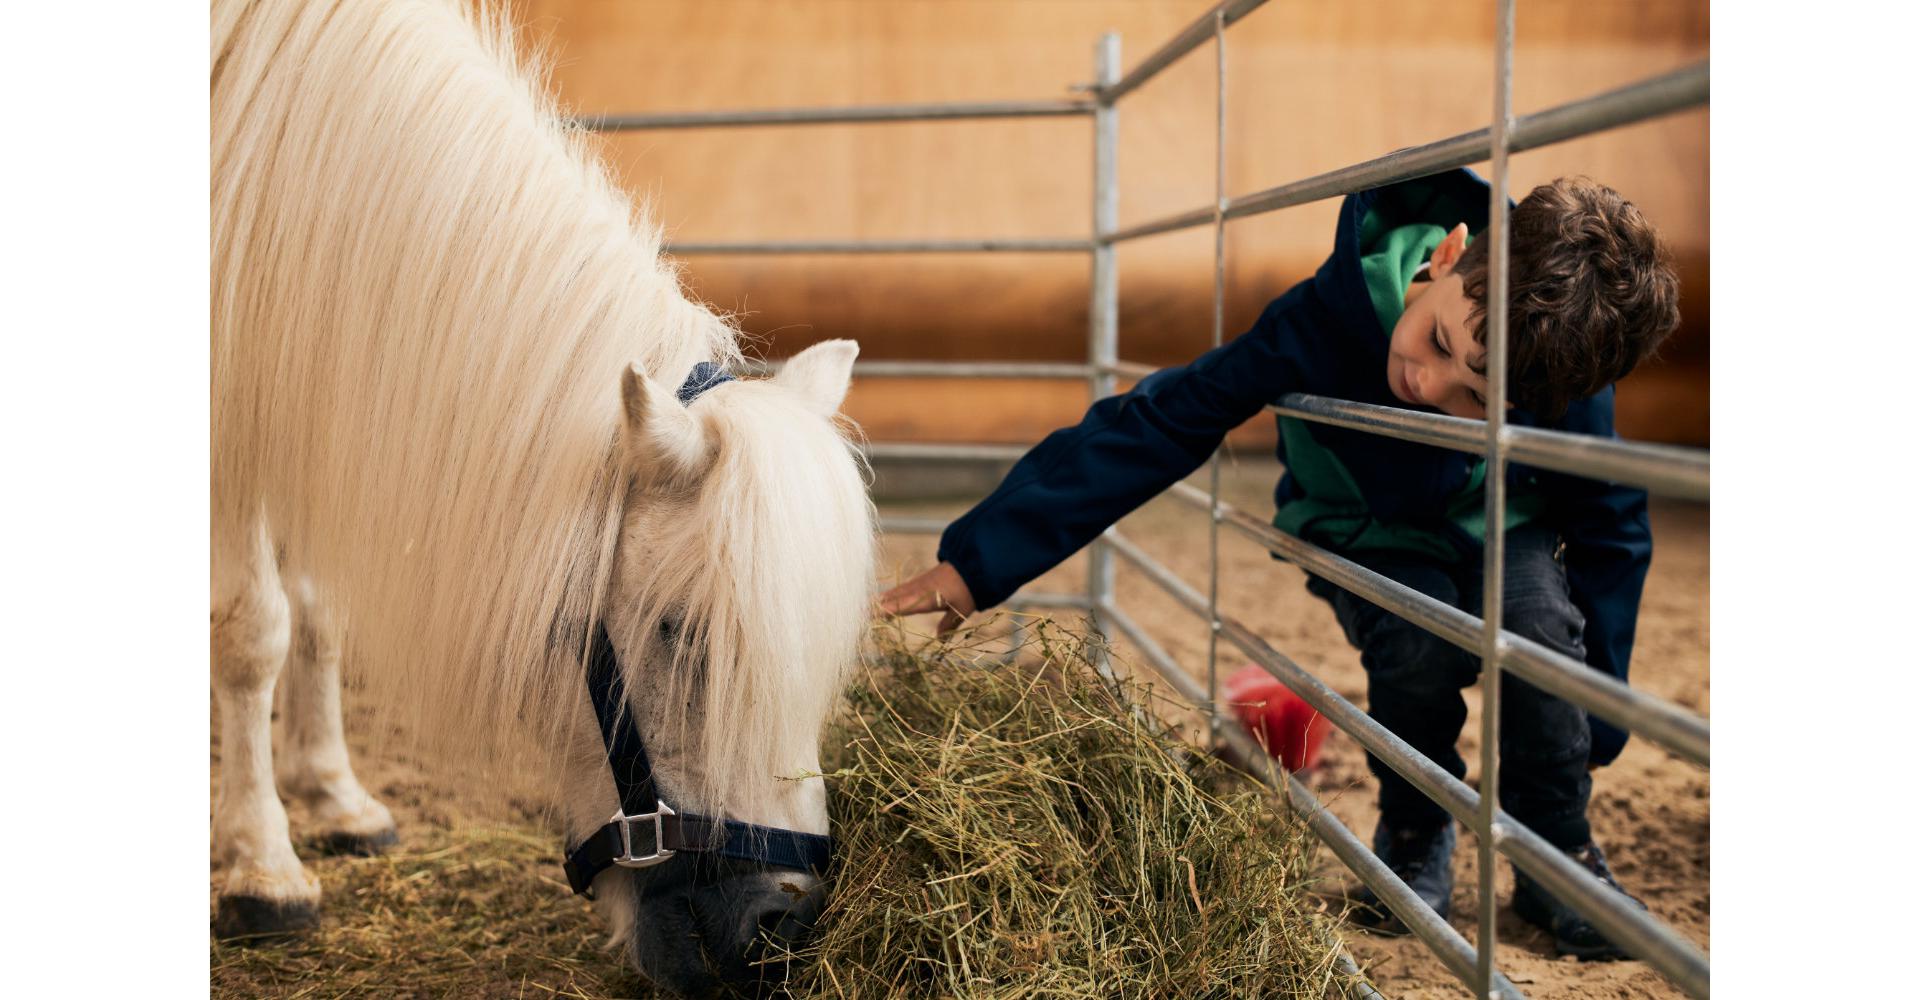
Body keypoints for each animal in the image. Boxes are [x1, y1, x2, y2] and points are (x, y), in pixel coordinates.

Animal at [214, 0, 875, 982]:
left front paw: (332, 794)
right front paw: (264, 870)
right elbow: (254, 631)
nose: (780, 926)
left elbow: (321, 613)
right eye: (684, 634)